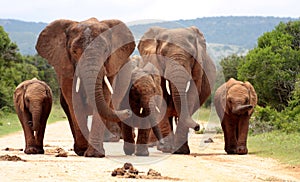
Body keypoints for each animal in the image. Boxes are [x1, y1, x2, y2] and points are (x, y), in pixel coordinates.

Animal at [35, 17, 135, 157]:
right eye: (74, 52)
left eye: (106, 51)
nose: (128, 113)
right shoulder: (65, 68)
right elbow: (74, 101)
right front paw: (83, 151)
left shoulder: (111, 67)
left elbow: (104, 96)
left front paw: (94, 154)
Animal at [137, 26, 217, 154]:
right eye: (163, 54)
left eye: (192, 56)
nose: (198, 127)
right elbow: (162, 95)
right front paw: (167, 149)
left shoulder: (198, 68)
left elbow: (192, 95)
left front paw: (181, 151)